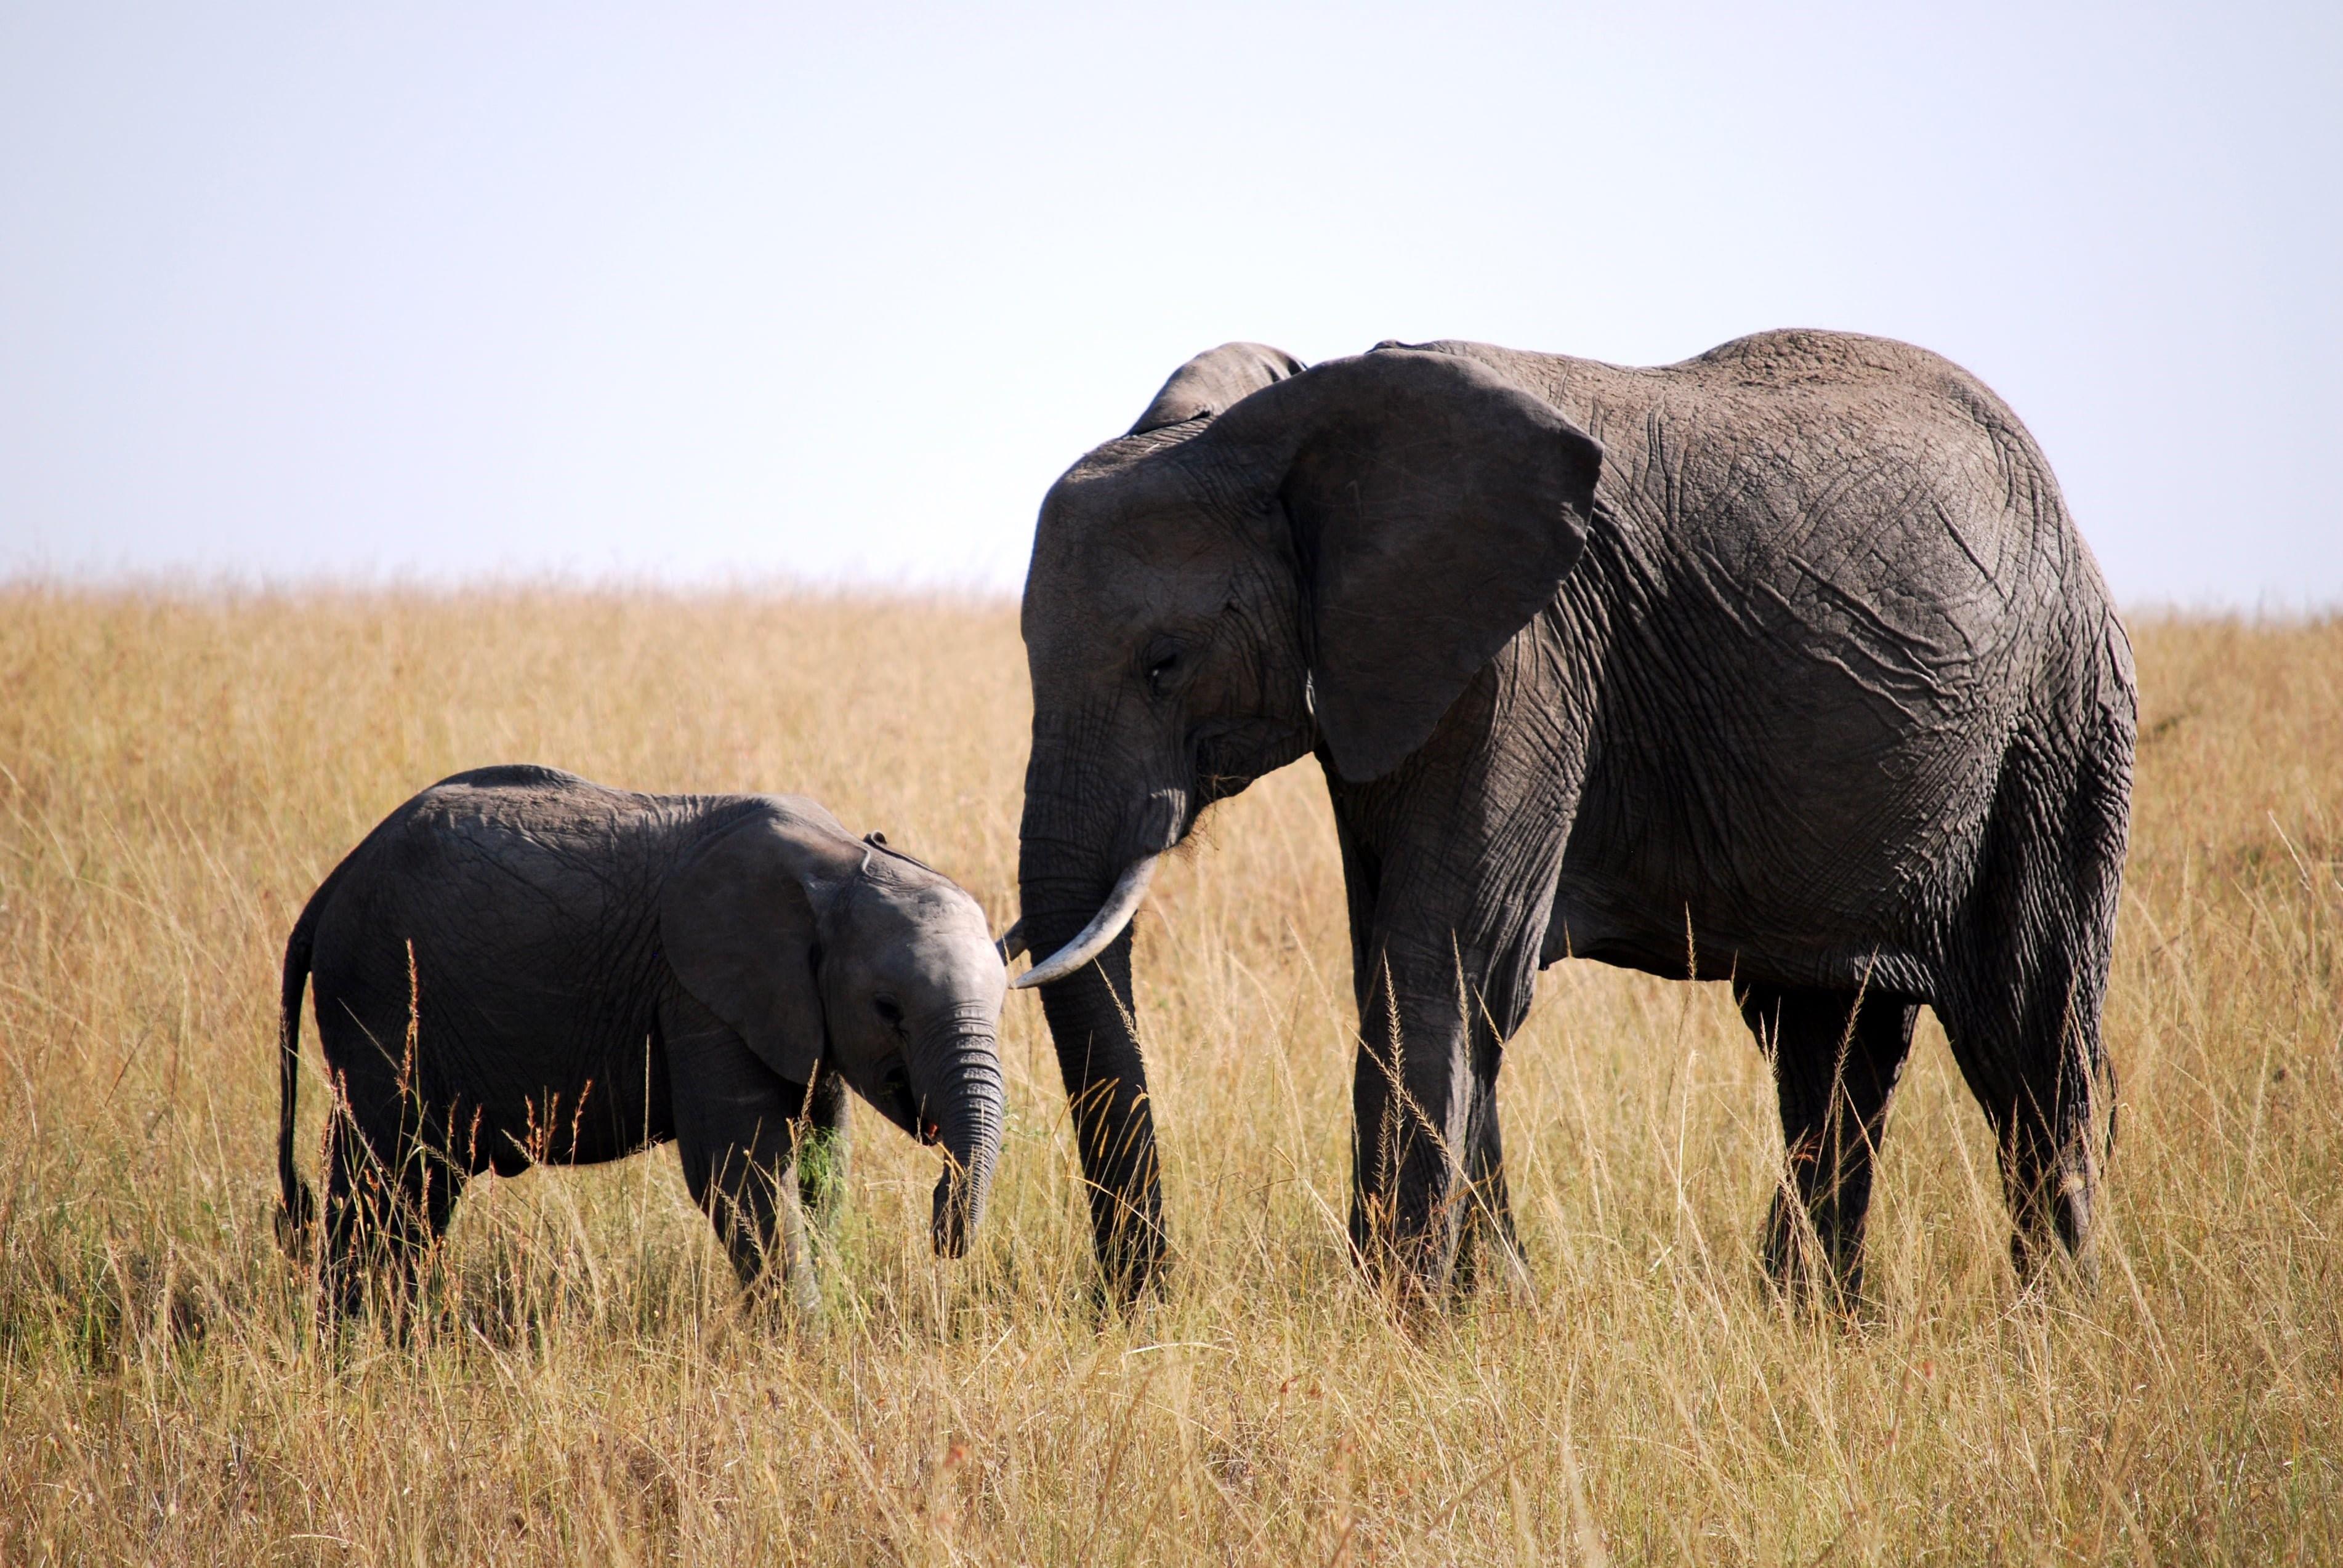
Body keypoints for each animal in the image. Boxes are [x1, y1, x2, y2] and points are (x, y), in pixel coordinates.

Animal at [274, 764, 1007, 1313]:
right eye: (888, 1008)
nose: (941, 1227)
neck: (841, 861)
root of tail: (331, 887)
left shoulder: (794, 1010)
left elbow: (823, 1164)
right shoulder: (698, 994)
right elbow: (740, 1172)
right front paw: (807, 1347)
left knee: (418, 1188)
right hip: (380, 994)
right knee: (381, 1176)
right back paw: (355, 1343)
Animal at [1017, 332, 2137, 1313]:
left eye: (1164, 662)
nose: (1135, 1303)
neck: (1287, 433)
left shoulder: (1528, 657)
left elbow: (1443, 961)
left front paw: (1400, 1323)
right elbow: (1409, 963)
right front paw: (1491, 1309)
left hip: (2056, 719)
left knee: (2028, 1030)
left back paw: (2050, 1320)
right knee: (1829, 1042)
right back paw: (1815, 1318)